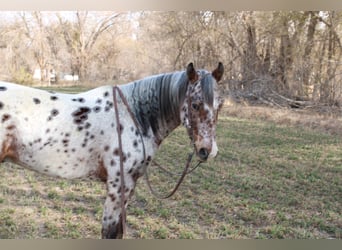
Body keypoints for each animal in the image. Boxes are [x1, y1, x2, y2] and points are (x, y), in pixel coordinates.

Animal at [0, 62, 224, 238]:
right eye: (195, 105)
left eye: (219, 105)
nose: (208, 151)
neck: (134, 115)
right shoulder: (119, 187)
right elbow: (110, 233)